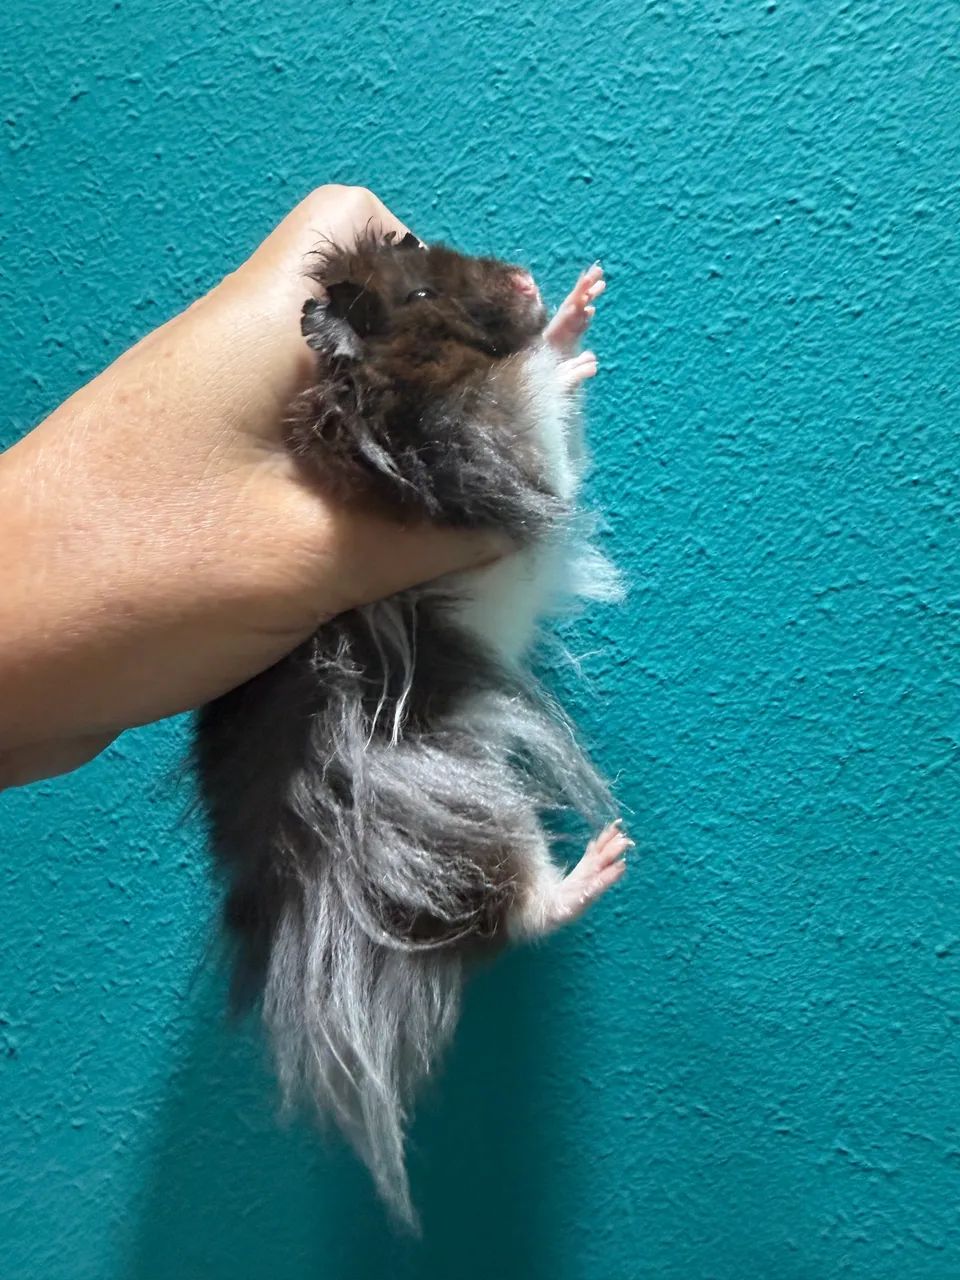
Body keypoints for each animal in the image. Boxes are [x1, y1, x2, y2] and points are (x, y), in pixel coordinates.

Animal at [195, 230, 628, 1227]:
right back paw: (610, 856)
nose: (526, 276)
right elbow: (536, 408)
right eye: (424, 294)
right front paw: (566, 342)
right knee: (517, 915)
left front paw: (581, 301)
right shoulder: (486, 460)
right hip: (455, 812)